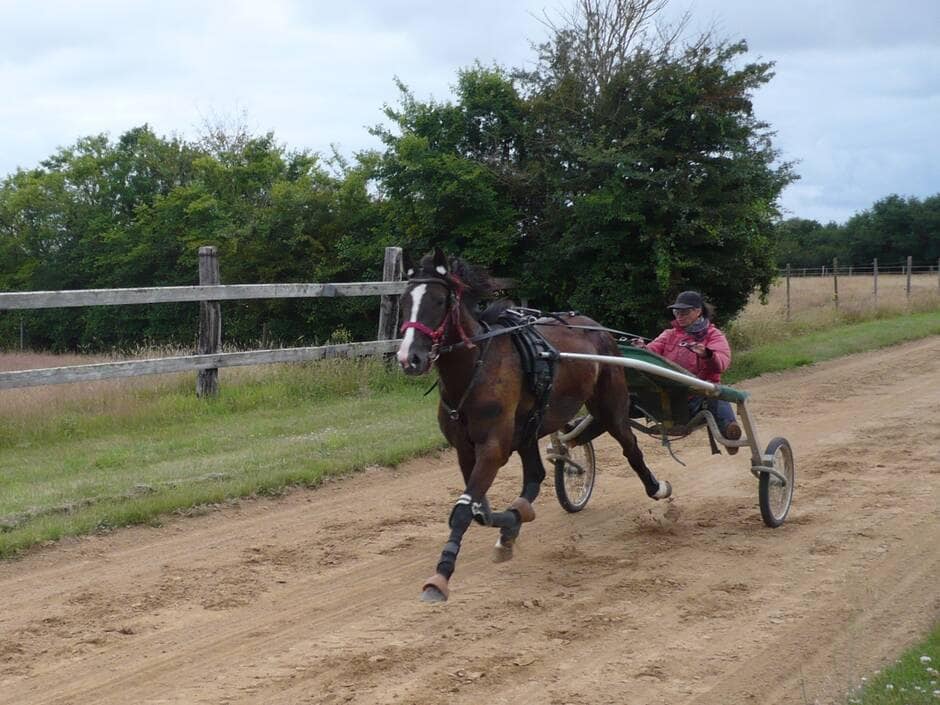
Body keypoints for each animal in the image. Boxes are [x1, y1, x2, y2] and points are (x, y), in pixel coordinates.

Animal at [394, 250, 668, 604]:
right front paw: (509, 527)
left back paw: (656, 487)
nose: (409, 358)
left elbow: (465, 512)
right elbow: (479, 510)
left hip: (610, 404)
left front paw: (440, 577)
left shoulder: (493, 447)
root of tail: (596, 328)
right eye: (403, 300)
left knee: (629, 445)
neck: (475, 370)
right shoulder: (466, 449)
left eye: (439, 300)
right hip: (529, 429)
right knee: (536, 475)